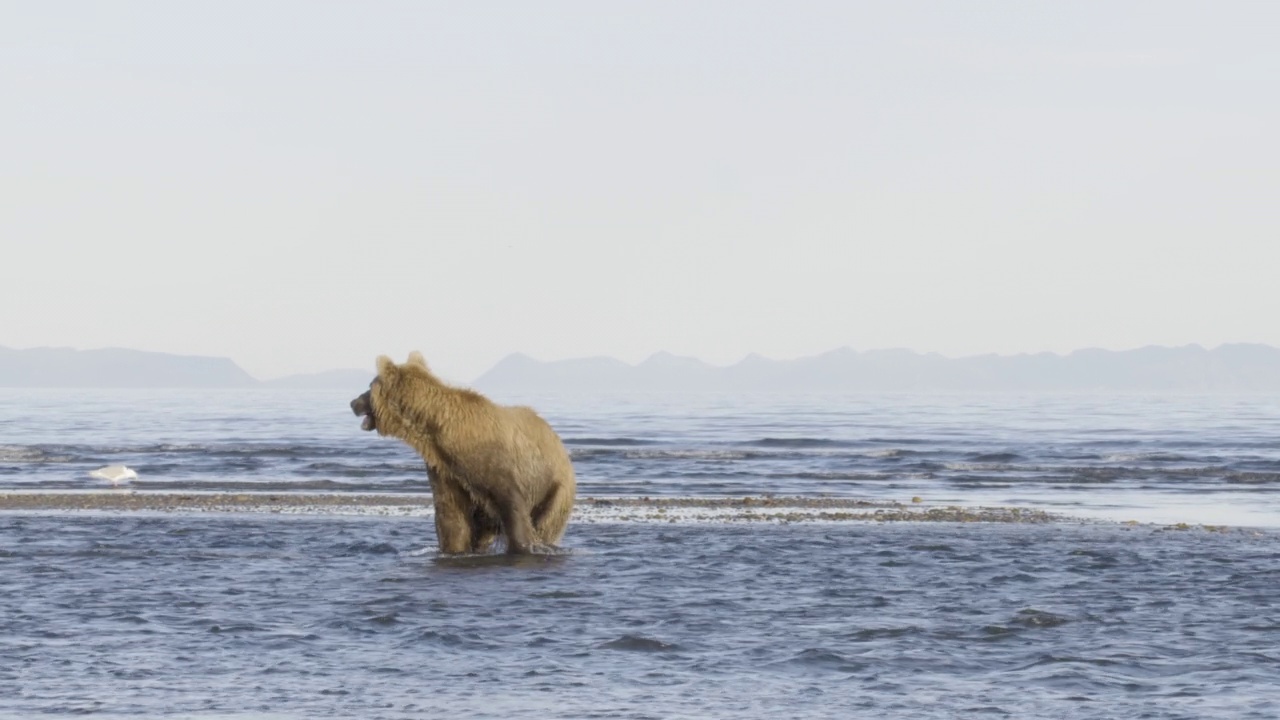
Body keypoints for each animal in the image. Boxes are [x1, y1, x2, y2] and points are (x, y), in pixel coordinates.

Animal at [345, 351, 576, 550]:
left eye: (369, 386)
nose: (353, 402)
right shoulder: (446, 469)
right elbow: (451, 517)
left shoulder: (494, 461)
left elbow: (513, 507)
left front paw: (525, 546)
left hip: (555, 488)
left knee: (547, 524)